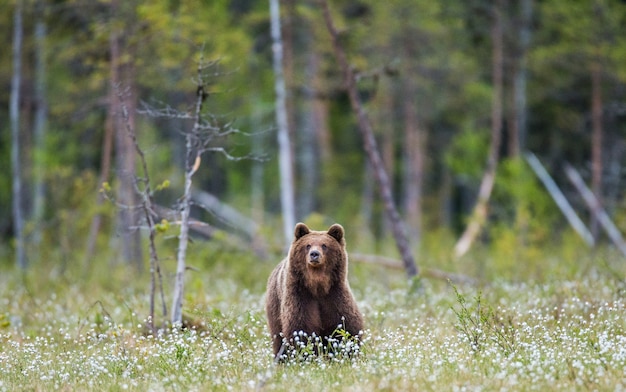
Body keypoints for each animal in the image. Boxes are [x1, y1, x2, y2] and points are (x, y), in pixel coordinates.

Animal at [262, 222, 360, 360]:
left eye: (324, 245)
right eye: (307, 245)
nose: (314, 254)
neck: (317, 287)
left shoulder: (335, 294)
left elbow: (346, 324)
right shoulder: (300, 295)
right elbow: (301, 327)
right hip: (275, 306)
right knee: (277, 337)